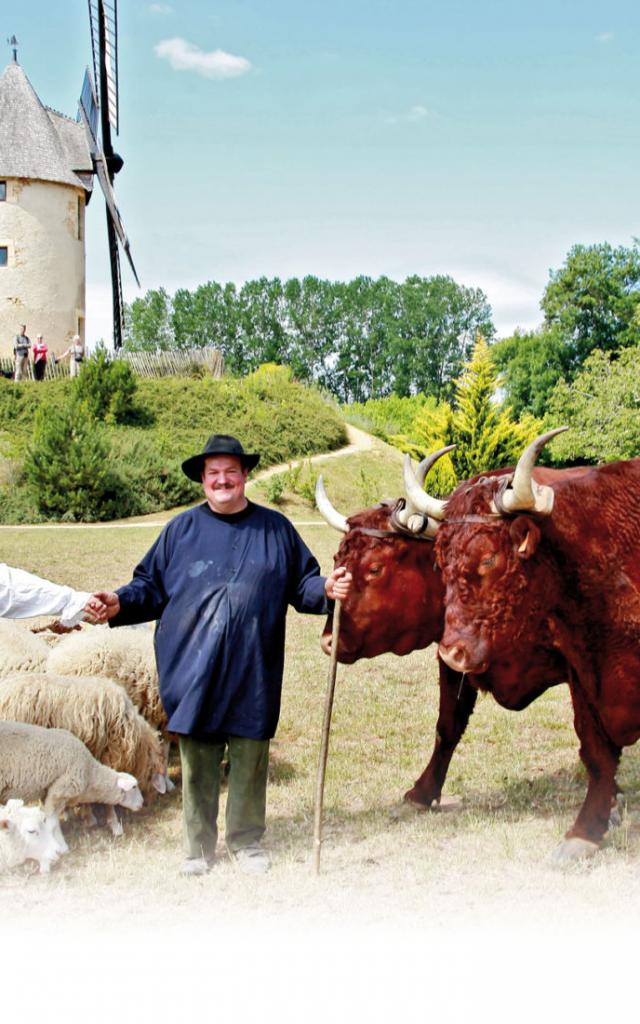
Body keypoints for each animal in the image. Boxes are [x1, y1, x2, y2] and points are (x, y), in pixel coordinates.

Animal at [0, 720, 142, 839]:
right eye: (134, 787)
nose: (142, 803)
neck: (90, 774)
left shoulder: (49, 791)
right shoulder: (60, 791)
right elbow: (51, 822)